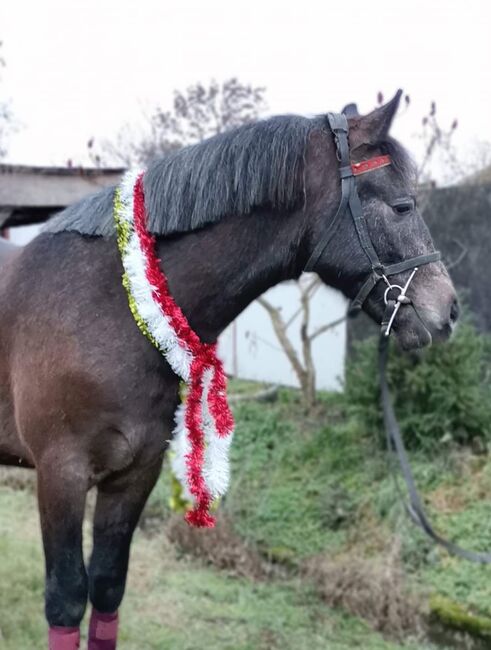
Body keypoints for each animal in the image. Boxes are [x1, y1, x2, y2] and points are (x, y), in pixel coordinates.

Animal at [0, 92, 460, 648]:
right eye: (402, 205)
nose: (449, 310)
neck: (105, 304)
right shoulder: (60, 475)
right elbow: (66, 600)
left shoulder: (135, 474)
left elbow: (107, 588)